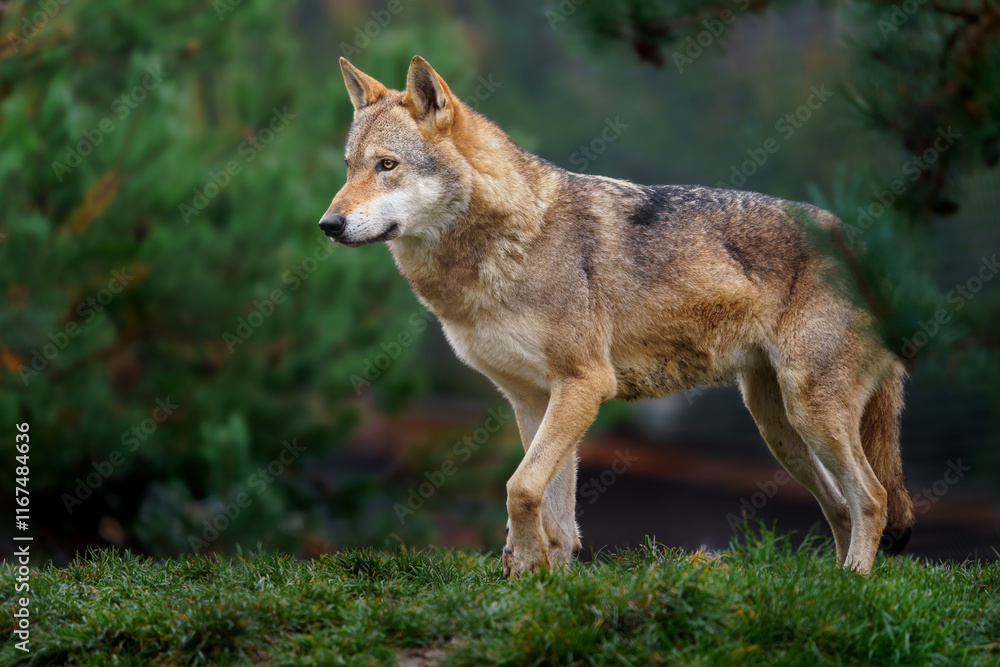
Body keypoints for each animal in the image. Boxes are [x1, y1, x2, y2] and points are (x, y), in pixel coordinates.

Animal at [320, 55, 915, 577]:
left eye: (387, 165)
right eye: (349, 167)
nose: (328, 224)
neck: (510, 246)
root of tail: (857, 244)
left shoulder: (584, 385)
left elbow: (520, 489)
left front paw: (529, 572)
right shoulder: (533, 400)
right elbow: (554, 517)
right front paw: (542, 588)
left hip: (811, 415)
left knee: (872, 497)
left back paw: (855, 583)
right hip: (781, 428)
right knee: (840, 505)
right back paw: (831, 586)